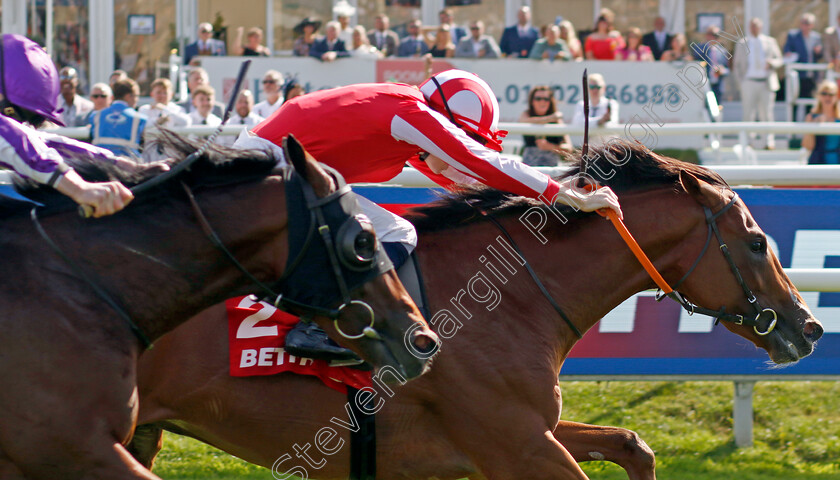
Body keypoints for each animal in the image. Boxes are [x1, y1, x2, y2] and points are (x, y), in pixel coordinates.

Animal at [130, 143, 820, 480]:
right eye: (757, 242)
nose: (808, 327)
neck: (510, 299)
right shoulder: (516, 445)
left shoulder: (529, 429)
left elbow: (632, 445)